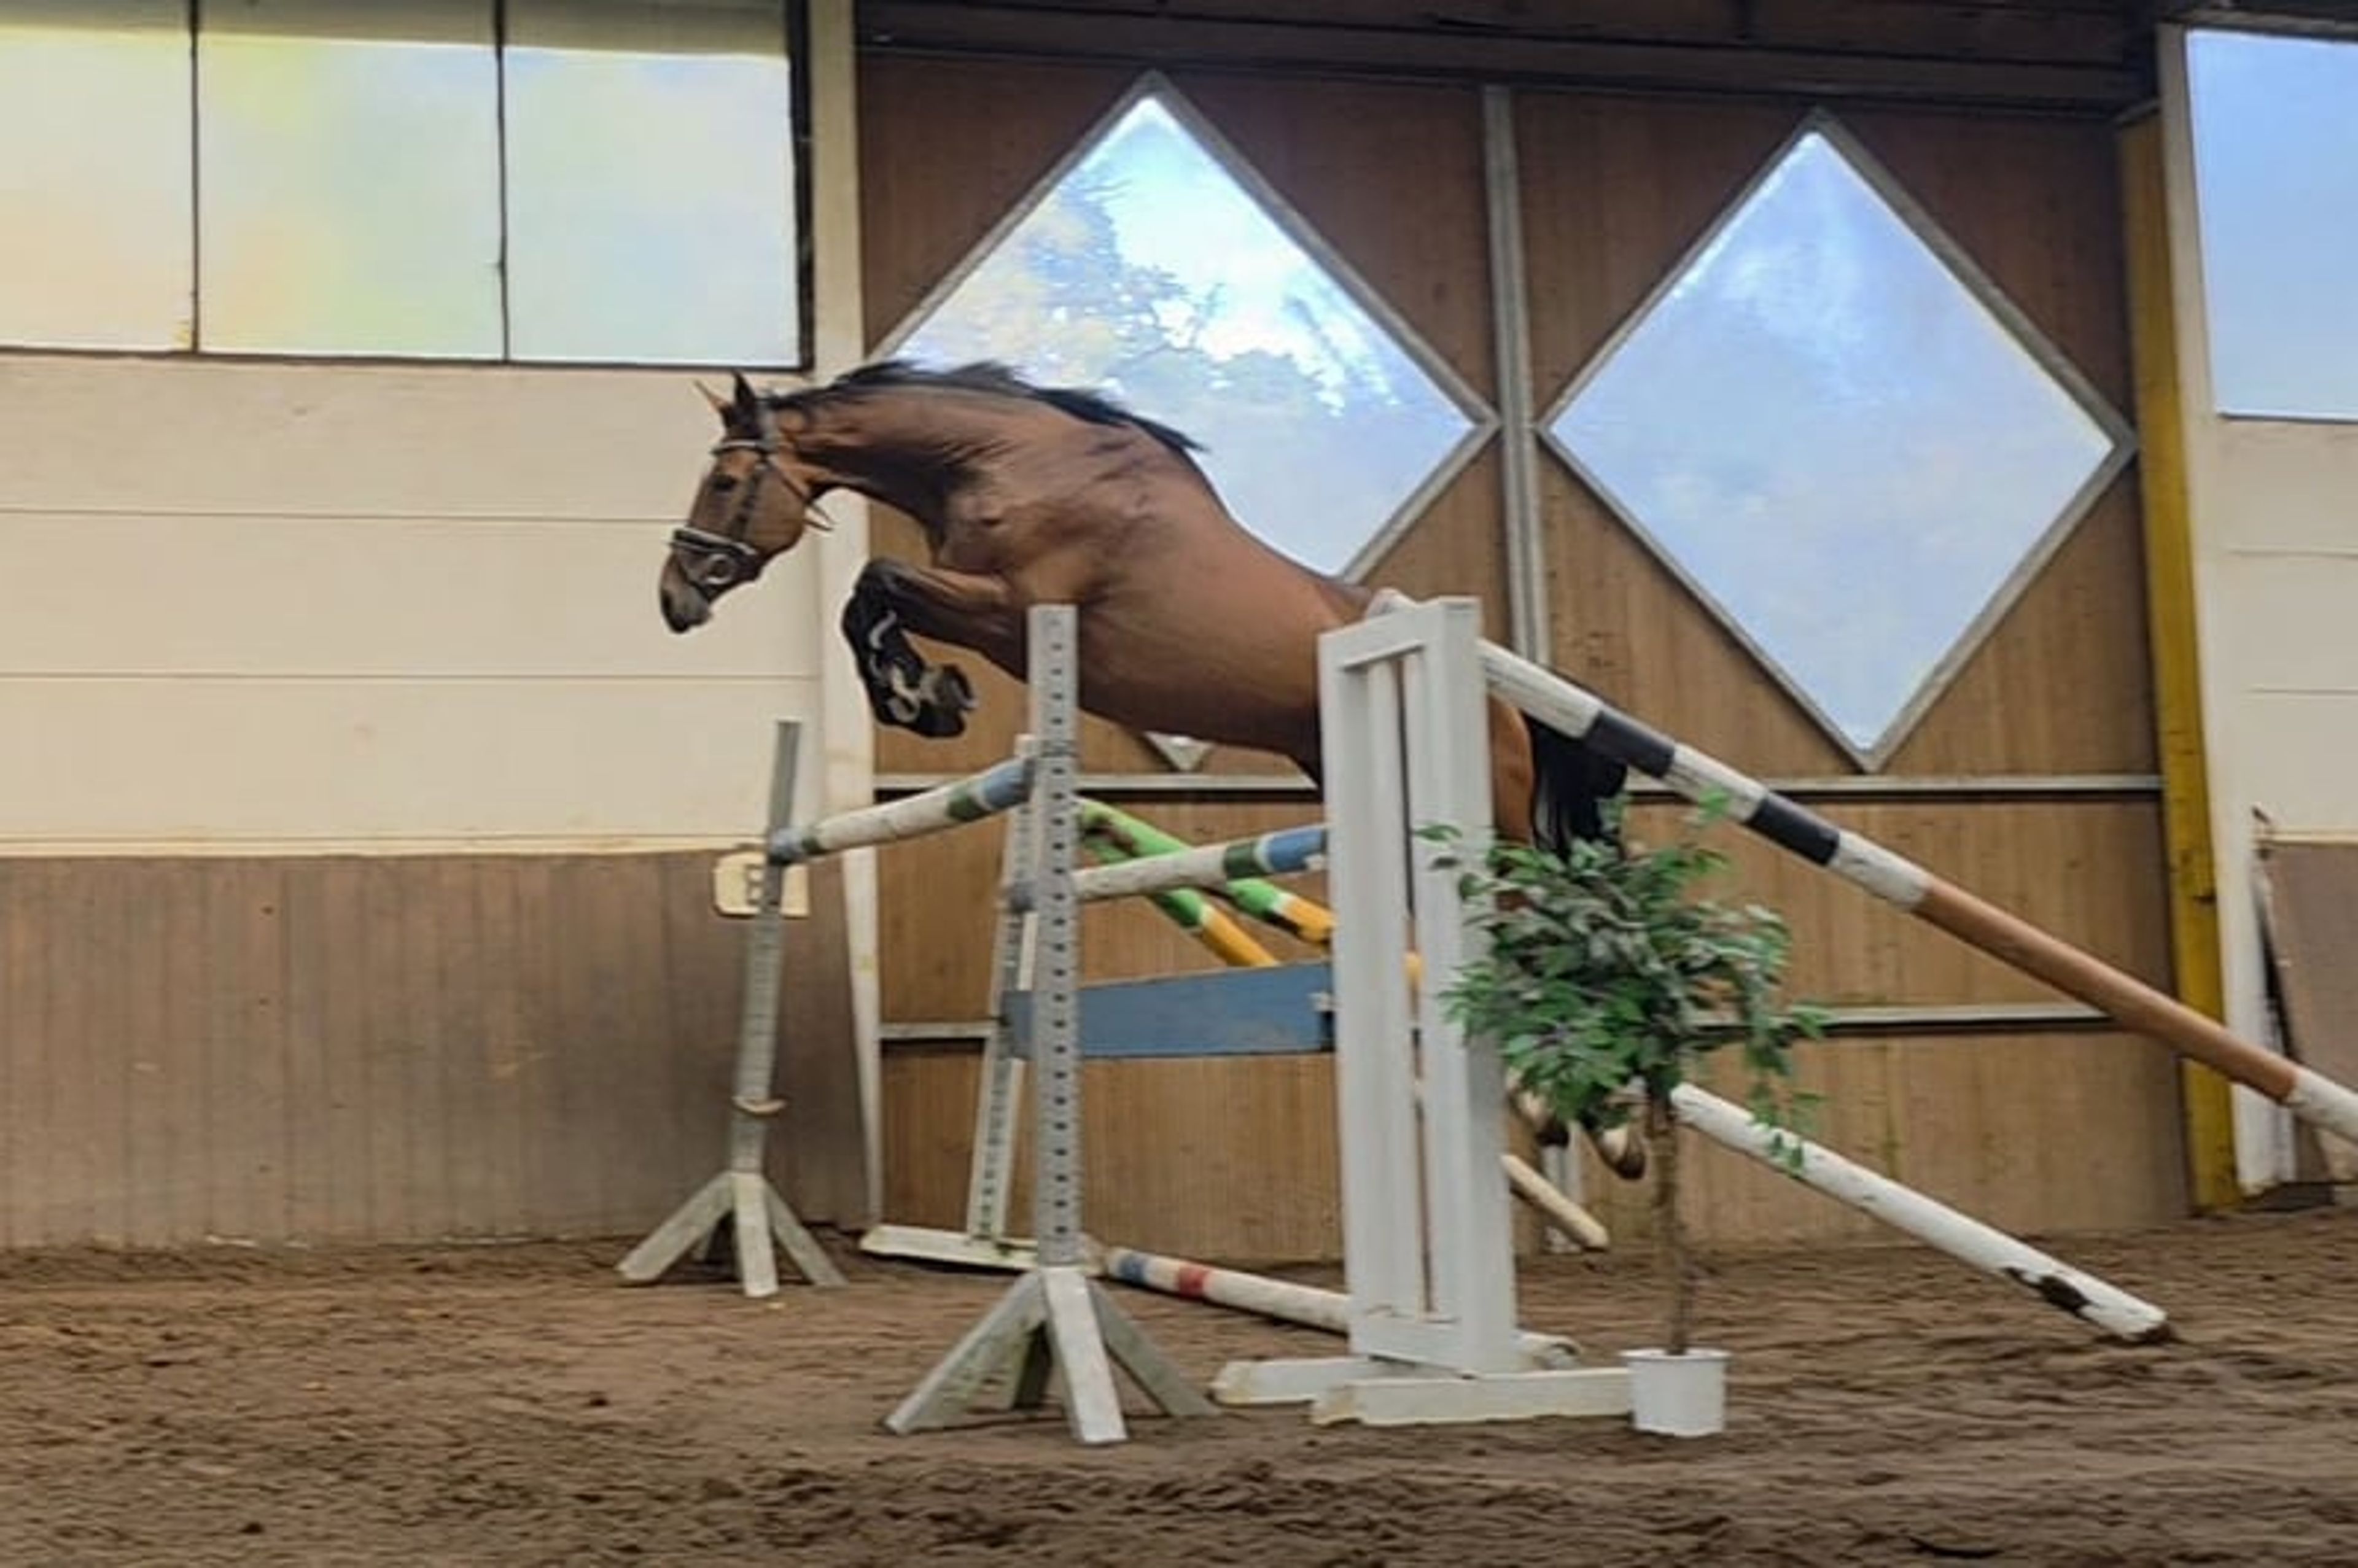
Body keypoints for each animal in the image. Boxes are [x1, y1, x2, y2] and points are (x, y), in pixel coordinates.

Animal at [658, 360, 1641, 1175]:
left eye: (726, 482)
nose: (676, 598)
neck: (1004, 461)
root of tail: (1502, 689)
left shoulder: (1013, 608)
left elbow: (879, 579)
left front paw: (918, 695)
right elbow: (868, 595)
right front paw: (928, 693)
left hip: (1484, 814)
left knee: (1541, 916)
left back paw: (1594, 1111)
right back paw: (1568, 1108)